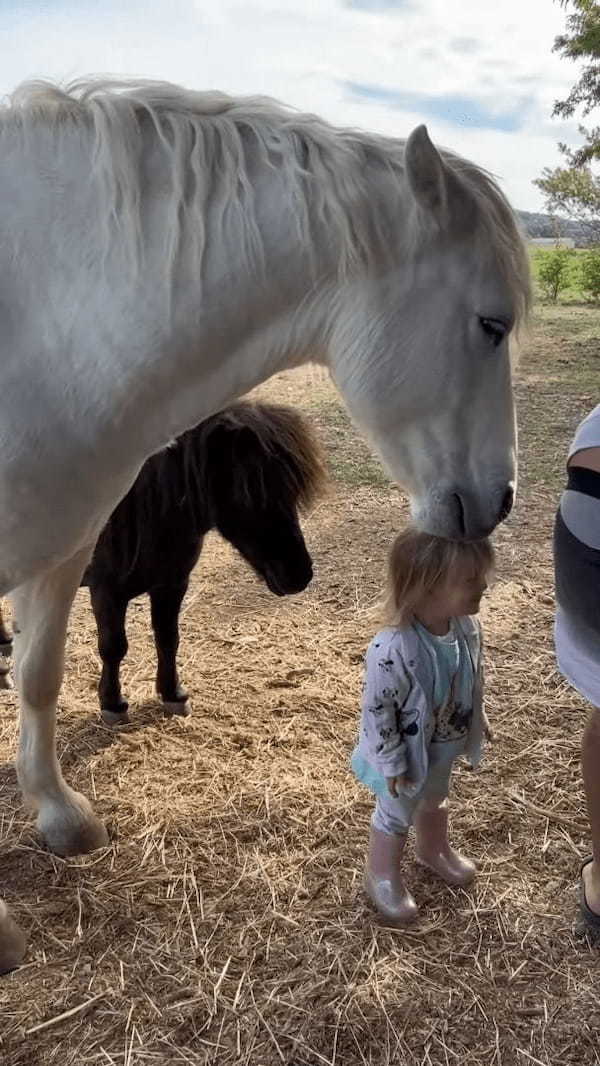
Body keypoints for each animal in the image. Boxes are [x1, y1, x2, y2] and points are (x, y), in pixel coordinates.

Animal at [0, 78, 528, 972]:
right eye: (491, 325)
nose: (503, 500)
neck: (48, 324)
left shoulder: (62, 551)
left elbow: (38, 676)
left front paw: (60, 816)